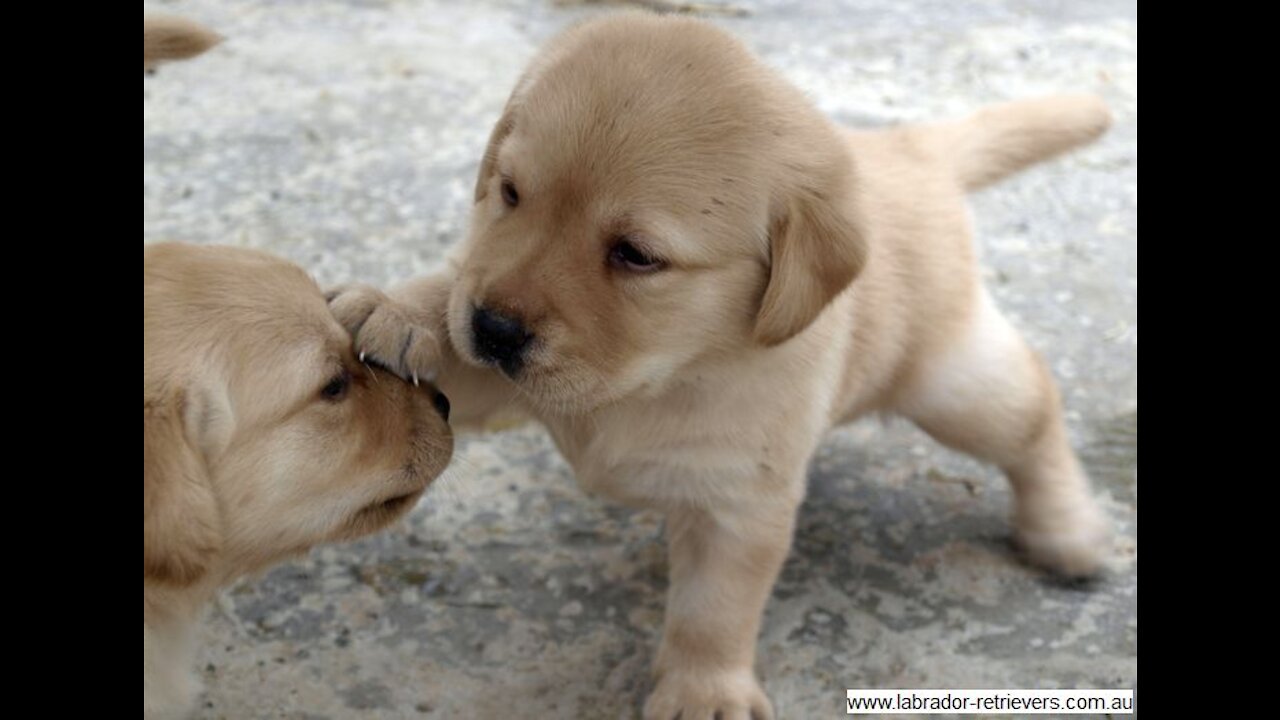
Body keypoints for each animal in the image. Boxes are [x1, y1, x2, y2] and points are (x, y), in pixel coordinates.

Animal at [335, 11, 1116, 717]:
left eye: (636, 255)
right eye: (510, 194)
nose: (493, 327)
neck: (664, 374)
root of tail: (908, 147)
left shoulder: (736, 505)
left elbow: (712, 611)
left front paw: (703, 694)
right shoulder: (500, 367)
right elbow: (449, 329)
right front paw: (402, 314)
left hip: (953, 384)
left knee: (1035, 410)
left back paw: (1067, 531)